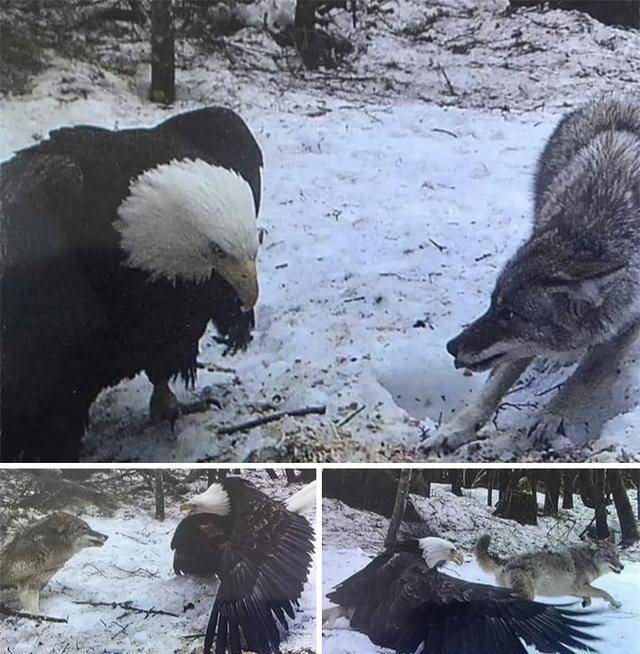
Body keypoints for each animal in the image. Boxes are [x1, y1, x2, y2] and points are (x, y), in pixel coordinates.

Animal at [424, 98, 640, 452]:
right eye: (493, 305)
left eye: (510, 314)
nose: (451, 347)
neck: (590, 231)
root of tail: (611, 100)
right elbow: (492, 386)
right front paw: (454, 429)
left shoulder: (625, 325)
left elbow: (584, 378)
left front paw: (551, 417)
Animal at [478, 532, 624, 608]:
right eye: (609, 556)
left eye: (617, 555)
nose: (622, 566)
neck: (588, 560)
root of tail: (508, 560)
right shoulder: (581, 587)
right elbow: (604, 592)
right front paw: (616, 604)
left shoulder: (571, 590)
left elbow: (589, 598)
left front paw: (586, 602)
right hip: (528, 595)